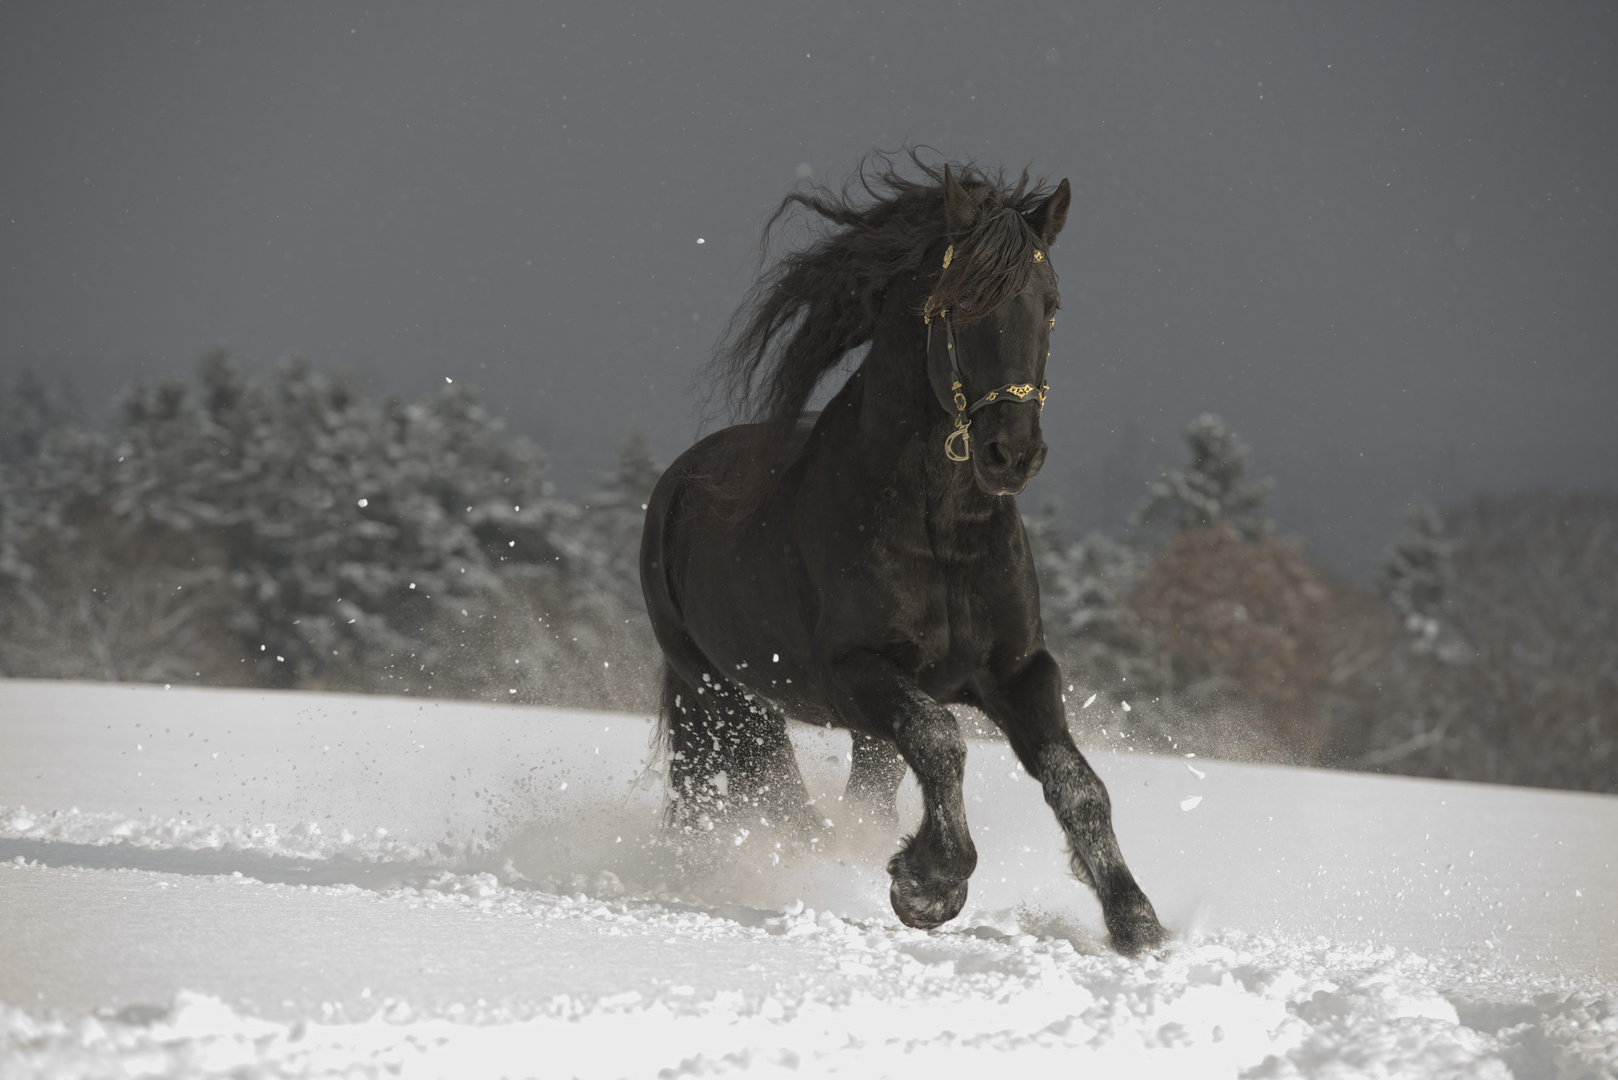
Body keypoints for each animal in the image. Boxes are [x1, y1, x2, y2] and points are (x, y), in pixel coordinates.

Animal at [640, 153, 1164, 952]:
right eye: (956, 305)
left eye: (1050, 303)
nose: (1012, 453)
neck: (943, 539)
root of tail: (677, 483)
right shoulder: (857, 670)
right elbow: (942, 740)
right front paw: (927, 885)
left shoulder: (1018, 672)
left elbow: (1078, 785)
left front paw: (1135, 920)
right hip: (723, 692)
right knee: (765, 792)